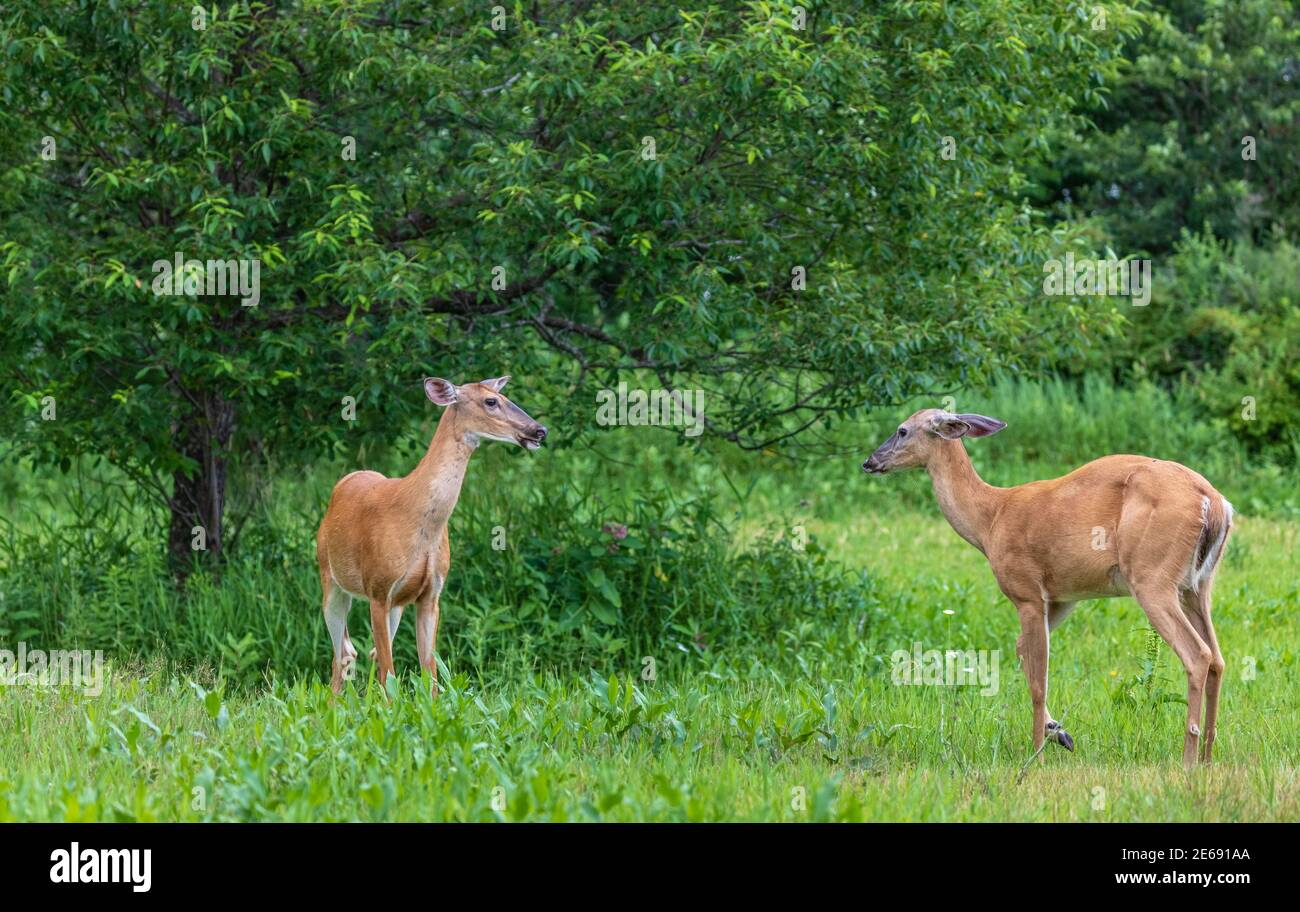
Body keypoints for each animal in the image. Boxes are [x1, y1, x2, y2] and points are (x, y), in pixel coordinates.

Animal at [317, 376, 546, 701]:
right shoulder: (378, 588)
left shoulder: (431, 594)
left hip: (396, 604)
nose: (539, 430)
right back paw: (335, 705)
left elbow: (430, 672)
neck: (417, 520)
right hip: (330, 577)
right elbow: (390, 672)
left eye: (503, 396)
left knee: (364, 651)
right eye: (491, 401)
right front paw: (389, 711)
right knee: (344, 652)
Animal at [863, 410, 1227, 769]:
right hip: (1197, 586)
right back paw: (1208, 756)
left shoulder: (1025, 590)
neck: (990, 519)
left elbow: (1038, 680)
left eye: (902, 430)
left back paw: (1188, 760)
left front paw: (1036, 752)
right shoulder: (1062, 598)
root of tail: (1215, 503)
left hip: (1152, 577)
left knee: (1198, 655)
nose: (869, 461)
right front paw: (1059, 732)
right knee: (1217, 659)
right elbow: (1021, 649)